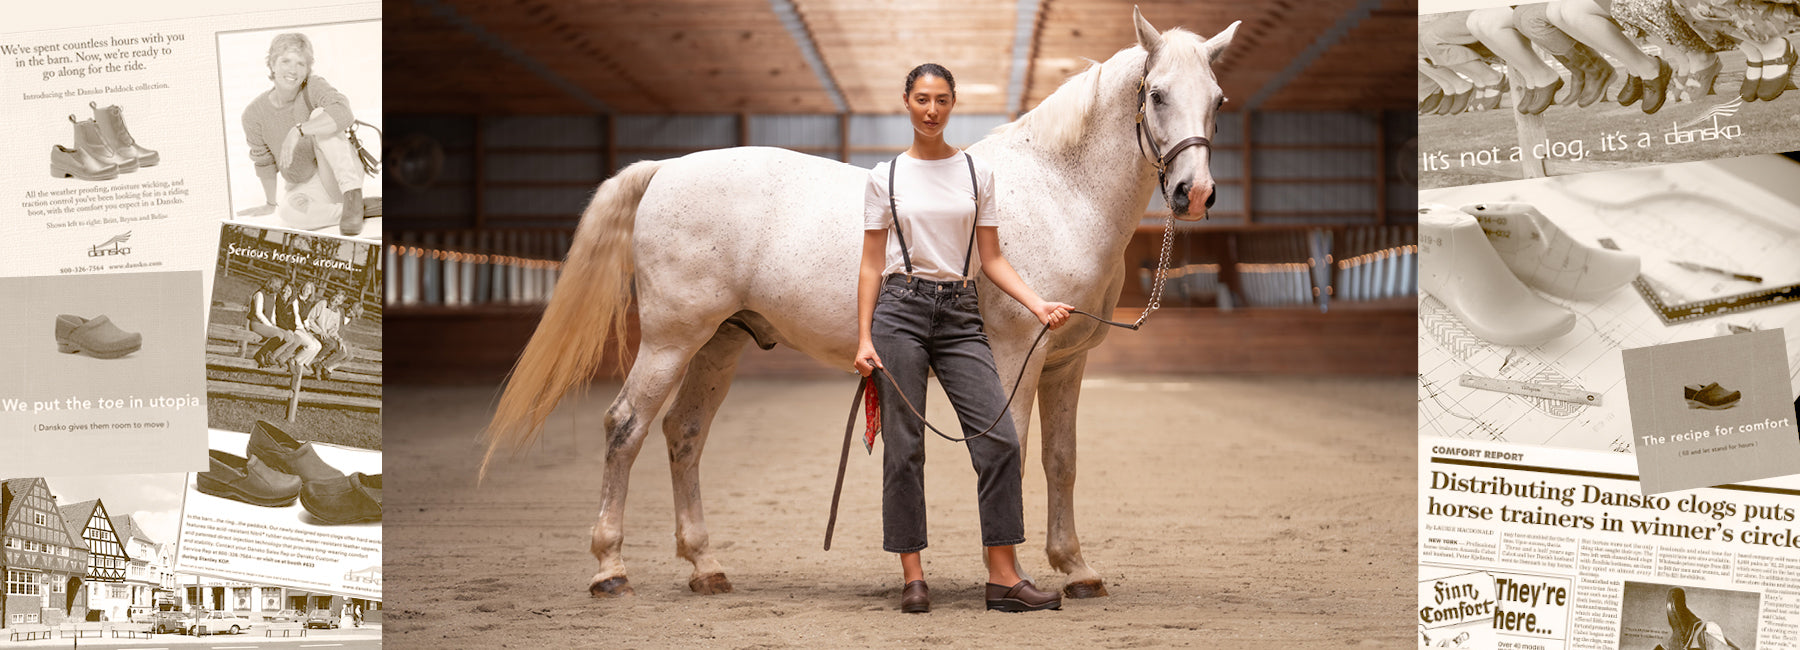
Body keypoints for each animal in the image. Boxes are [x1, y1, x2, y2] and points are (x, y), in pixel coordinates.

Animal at [478, 10, 1238, 597]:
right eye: (1157, 94)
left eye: (1219, 100)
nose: (1194, 193)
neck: (1056, 190)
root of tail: (664, 168)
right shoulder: (1016, 355)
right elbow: (1012, 453)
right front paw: (1014, 573)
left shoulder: (1065, 365)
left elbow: (1060, 461)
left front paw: (1076, 570)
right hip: (671, 339)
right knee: (625, 428)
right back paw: (610, 569)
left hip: (720, 342)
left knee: (683, 435)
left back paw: (705, 567)